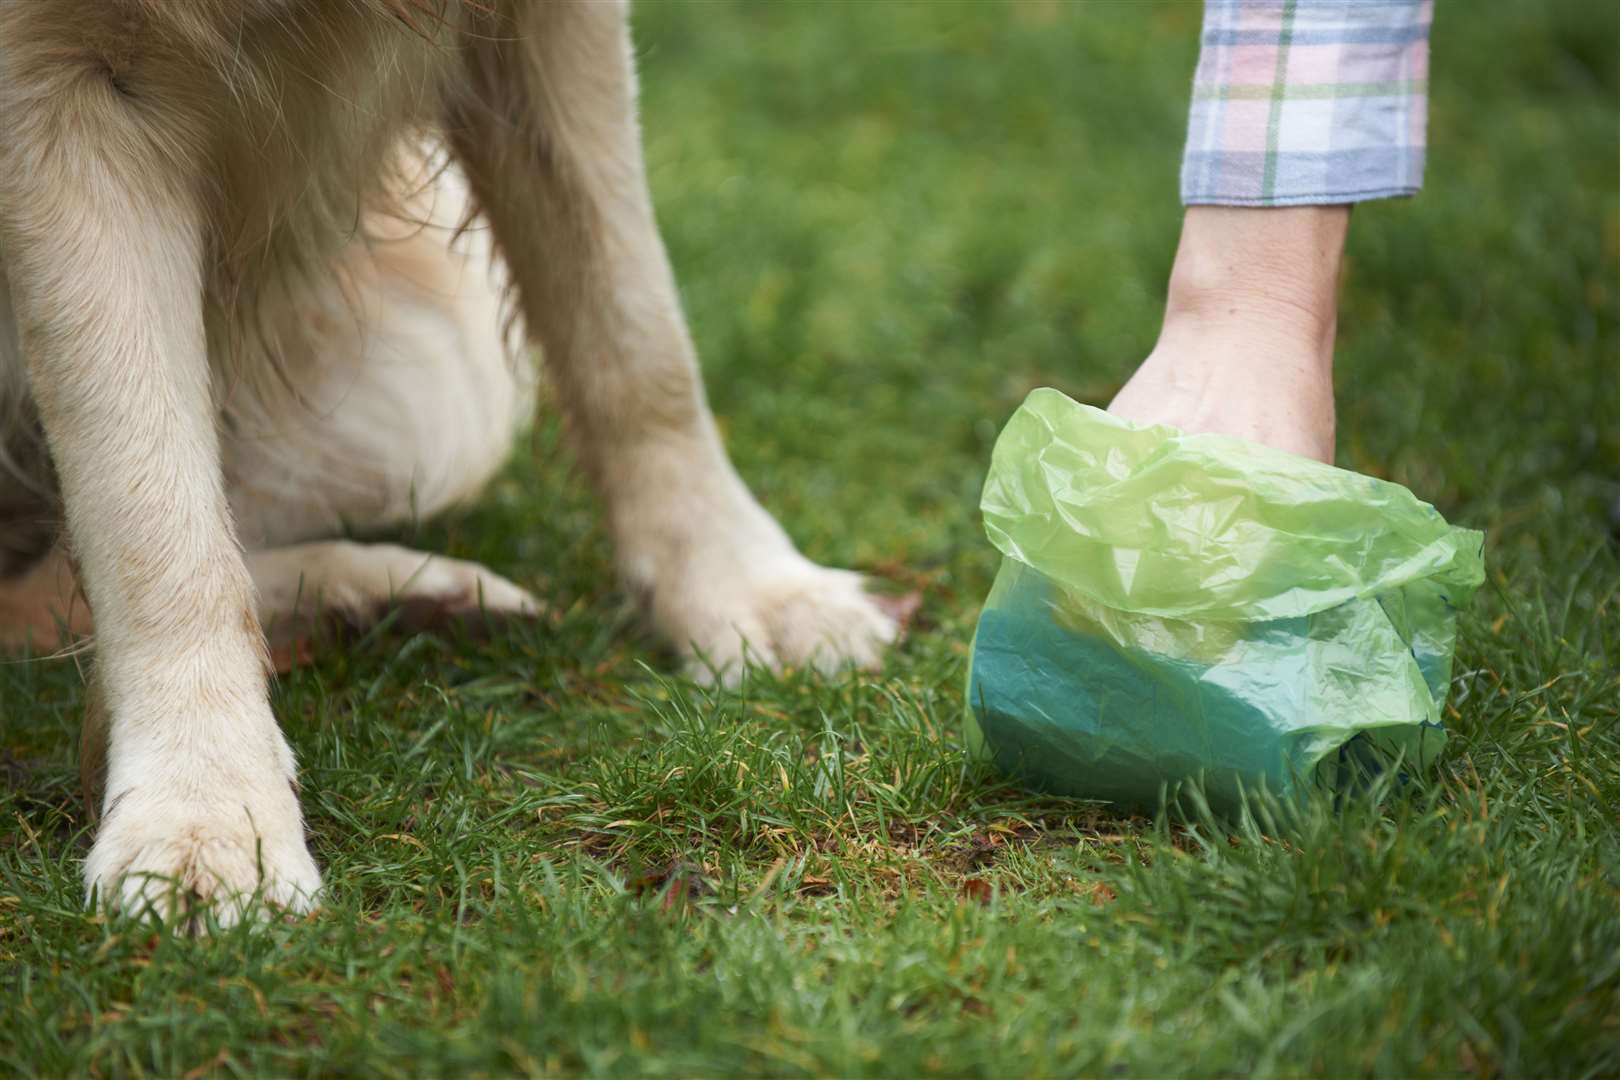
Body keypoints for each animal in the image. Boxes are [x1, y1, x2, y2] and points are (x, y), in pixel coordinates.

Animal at [0, 0, 900, 932]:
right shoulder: (53, 85)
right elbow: (150, 514)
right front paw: (205, 811)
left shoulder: (550, 34)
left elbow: (635, 332)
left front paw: (746, 589)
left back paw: (404, 599)